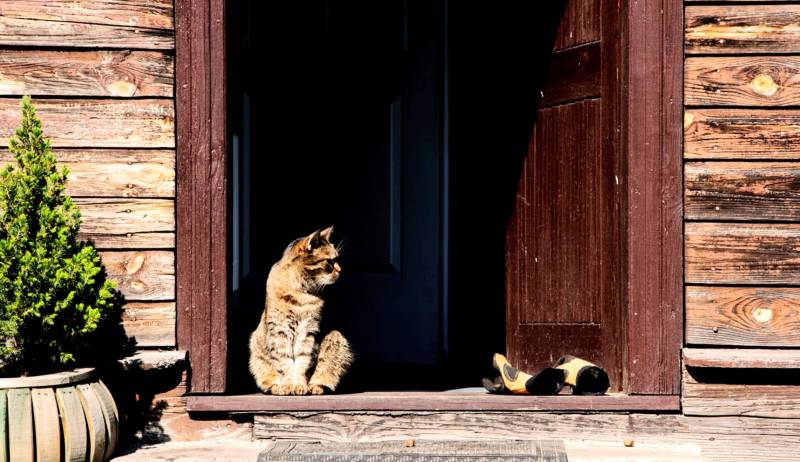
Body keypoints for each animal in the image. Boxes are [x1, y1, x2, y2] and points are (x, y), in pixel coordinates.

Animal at [248, 227, 352, 394]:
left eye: (337, 259)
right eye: (330, 261)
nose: (340, 270)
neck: (301, 293)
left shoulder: (308, 332)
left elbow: (303, 363)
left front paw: (300, 386)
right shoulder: (280, 332)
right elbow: (284, 363)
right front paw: (287, 386)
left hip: (337, 339)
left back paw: (315, 387)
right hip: (256, 347)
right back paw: (276, 387)